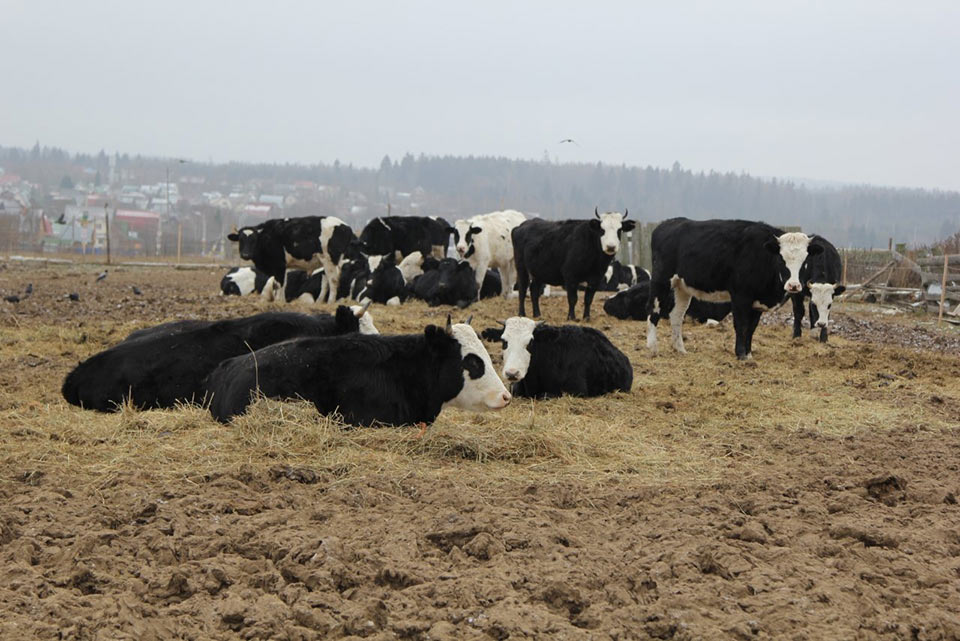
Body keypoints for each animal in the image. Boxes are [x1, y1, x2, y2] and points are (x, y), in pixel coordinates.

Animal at [640, 218, 820, 360]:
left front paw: (748, 354)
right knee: (653, 310)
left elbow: (751, 328)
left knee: (676, 315)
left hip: (682, 287)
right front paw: (740, 354)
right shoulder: (740, 296)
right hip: (661, 279)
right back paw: (652, 347)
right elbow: (741, 325)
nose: (793, 285)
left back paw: (680, 349)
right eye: (782, 259)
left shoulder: (756, 302)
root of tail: (668, 223)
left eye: (805, 261)